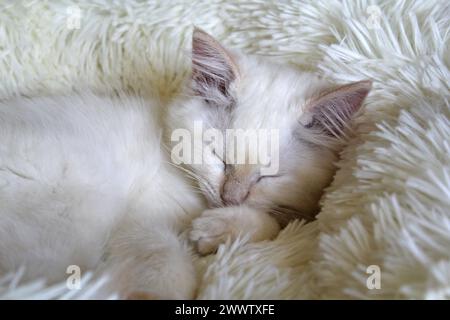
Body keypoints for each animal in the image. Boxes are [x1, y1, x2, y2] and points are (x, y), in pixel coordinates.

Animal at [0, 28, 372, 298]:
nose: (230, 198)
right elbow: (169, 264)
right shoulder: (139, 220)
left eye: (267, 177)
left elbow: (275, 222)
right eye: (219, 157)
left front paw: (215, 230)